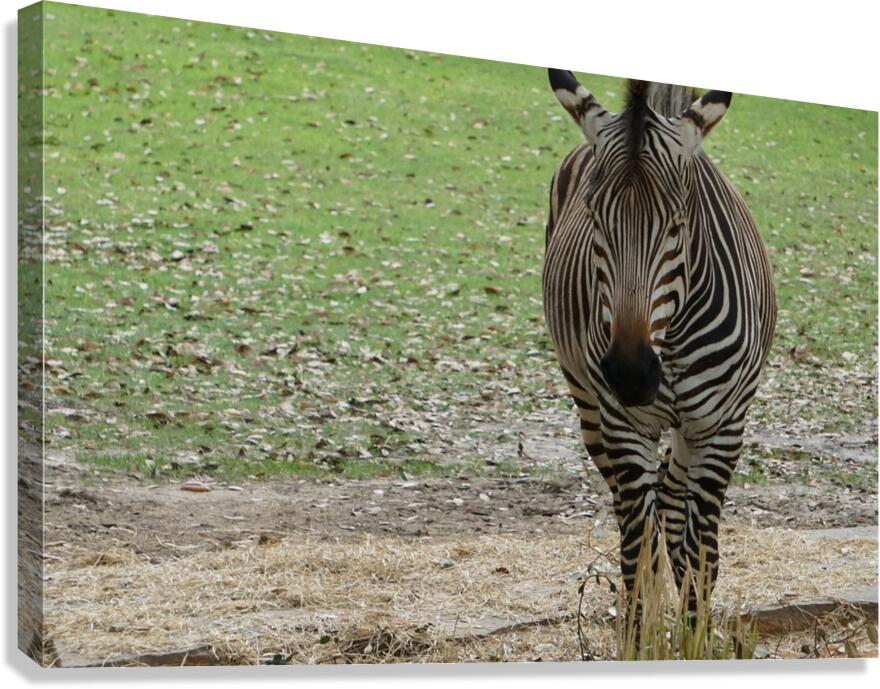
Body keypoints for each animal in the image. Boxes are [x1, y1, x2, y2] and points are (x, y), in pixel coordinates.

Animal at [542, 71, 776, 602]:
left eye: (678, 222)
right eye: (594, 217)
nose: (630, 374)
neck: (669, 340)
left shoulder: (722, 427)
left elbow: (703, 560)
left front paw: (695, 624)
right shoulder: (625, 426)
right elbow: (637, 560)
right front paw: (641, 622)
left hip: (693, 426)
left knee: (671, 499)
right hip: (589, 404)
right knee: (637, 513)